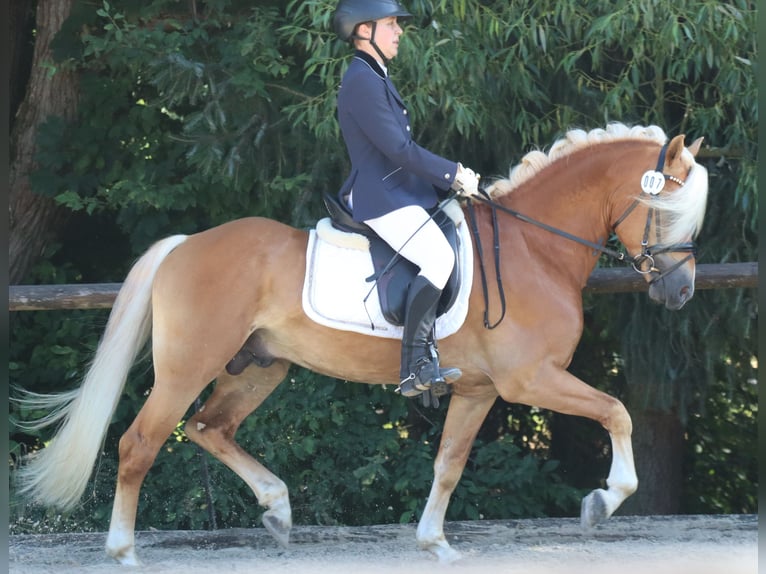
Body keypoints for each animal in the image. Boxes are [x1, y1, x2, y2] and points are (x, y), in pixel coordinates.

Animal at [15, 122, 712, 568]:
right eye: (665, 212)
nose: (680, 293)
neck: (533, 249)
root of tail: (184, 245)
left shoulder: (480, 390)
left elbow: (449, 462)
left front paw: (435, 543)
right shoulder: (530, 379)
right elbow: (617, 412)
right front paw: (602, 501)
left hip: (257, 367)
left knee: (211, 429)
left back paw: (277, 509)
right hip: (190, 366)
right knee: (141, 443)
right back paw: (124, 551)